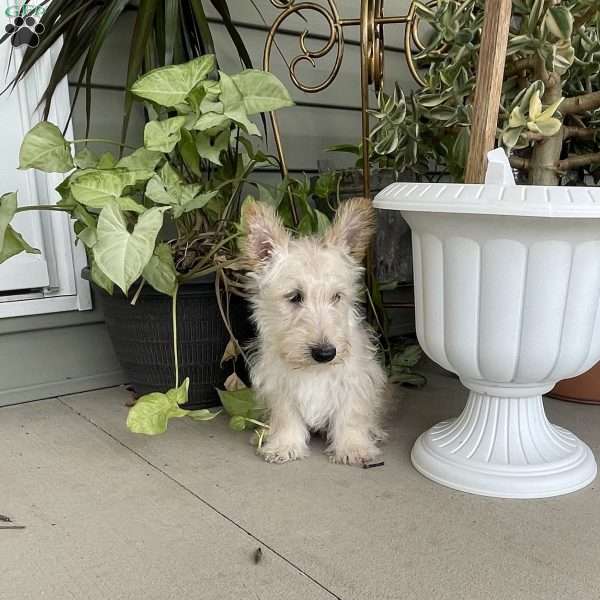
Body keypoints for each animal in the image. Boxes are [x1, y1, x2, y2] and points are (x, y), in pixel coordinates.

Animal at [241, 197, 386, 464]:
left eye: (337, 296)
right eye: (294, 296)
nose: (325, 353)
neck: (314, 370)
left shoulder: (355, 381)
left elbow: (351, 416)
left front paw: (353, 447)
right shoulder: (280, 386)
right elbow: (286, 417)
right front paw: (284, 445)